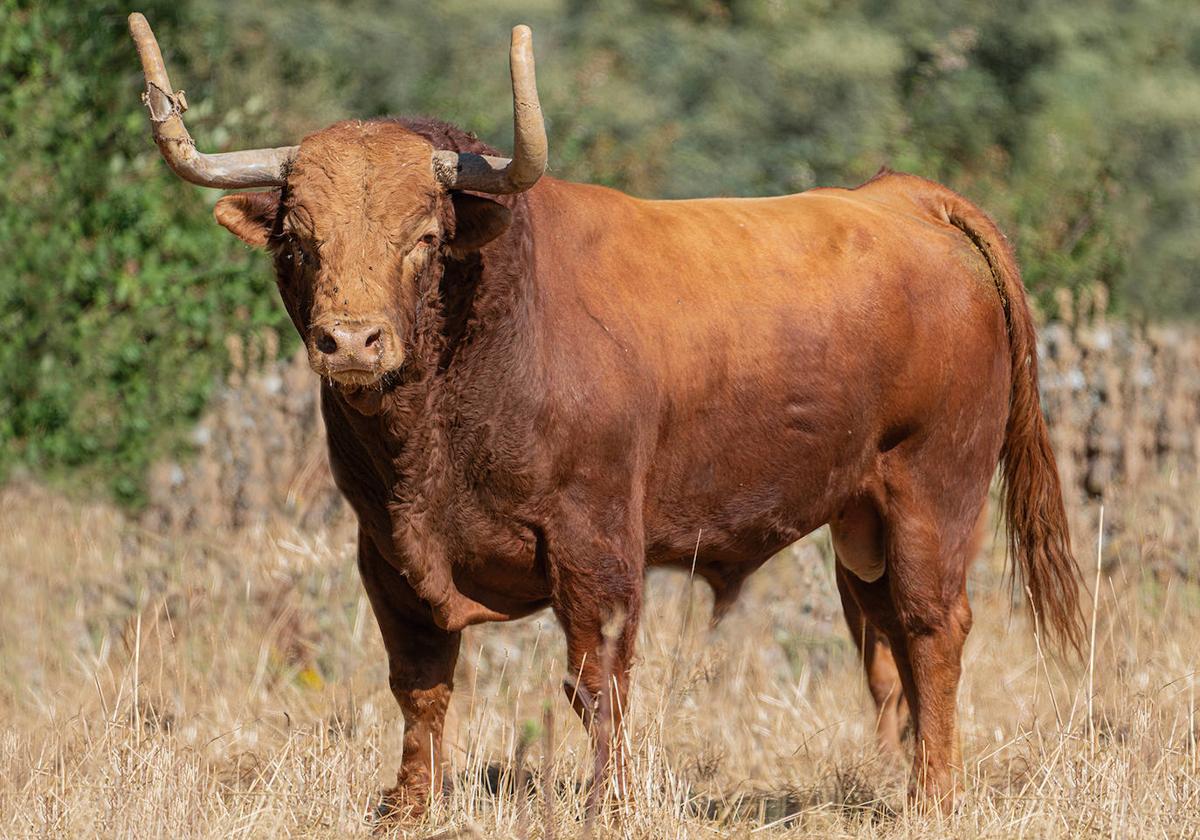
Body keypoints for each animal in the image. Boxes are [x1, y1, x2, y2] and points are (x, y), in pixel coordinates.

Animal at [126, 11, 1084, 816]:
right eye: (298, 239)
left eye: (425, 238)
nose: (352, 342)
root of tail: (903, 196)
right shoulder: (387, 552)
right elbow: (420, 683)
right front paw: (407, 808)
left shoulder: (595, 543)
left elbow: (598, 682)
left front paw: (607, 805)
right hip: (862, 517)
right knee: (884, 635)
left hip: (936, 487)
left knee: (932, 628)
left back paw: (934, 797)